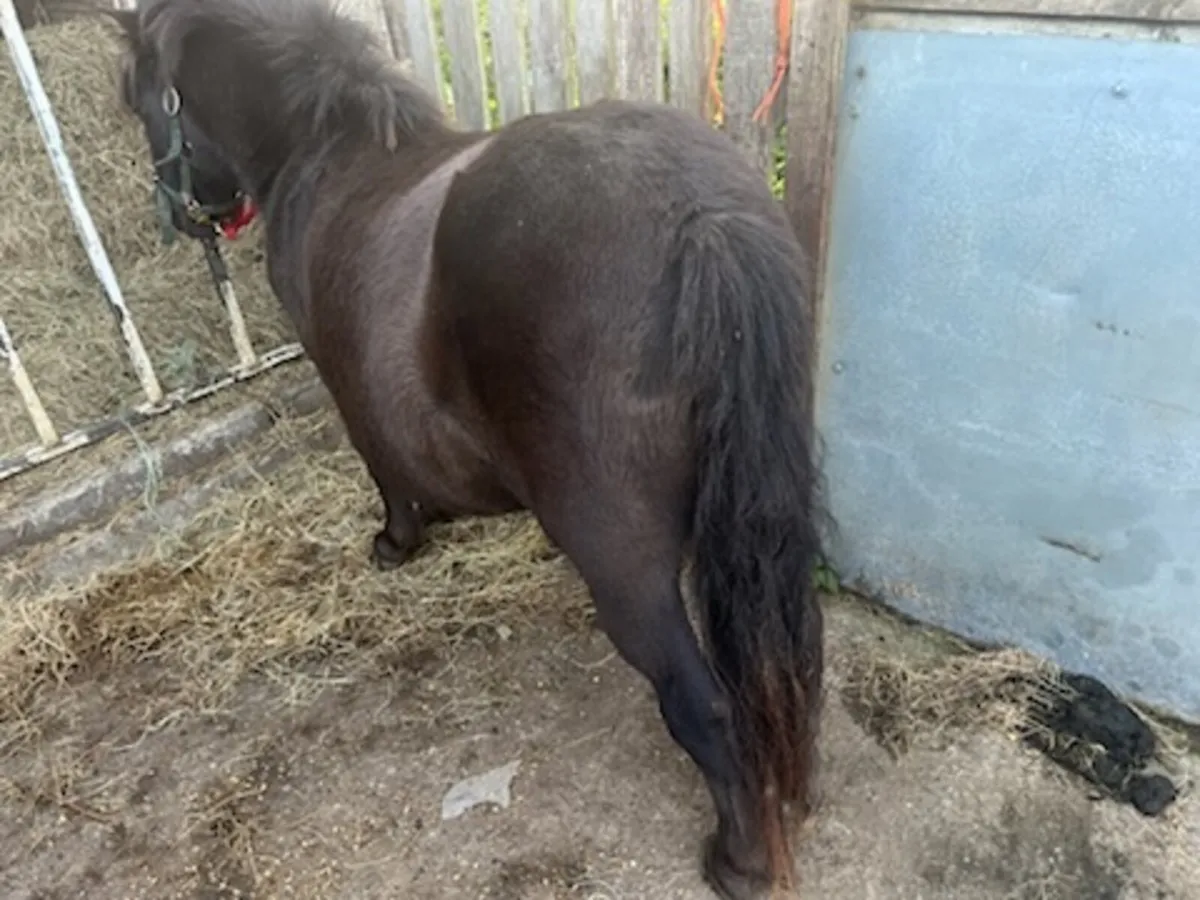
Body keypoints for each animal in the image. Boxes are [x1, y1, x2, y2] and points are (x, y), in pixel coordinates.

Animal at [101, 1, 827, 896]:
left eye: (141, 99)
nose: (177, 211)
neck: (329, 153)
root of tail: (701, 219)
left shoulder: (345, 383)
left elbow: (383, 466)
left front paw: (398, 540)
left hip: (626, 565)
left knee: (707, 704)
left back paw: (740, 859)